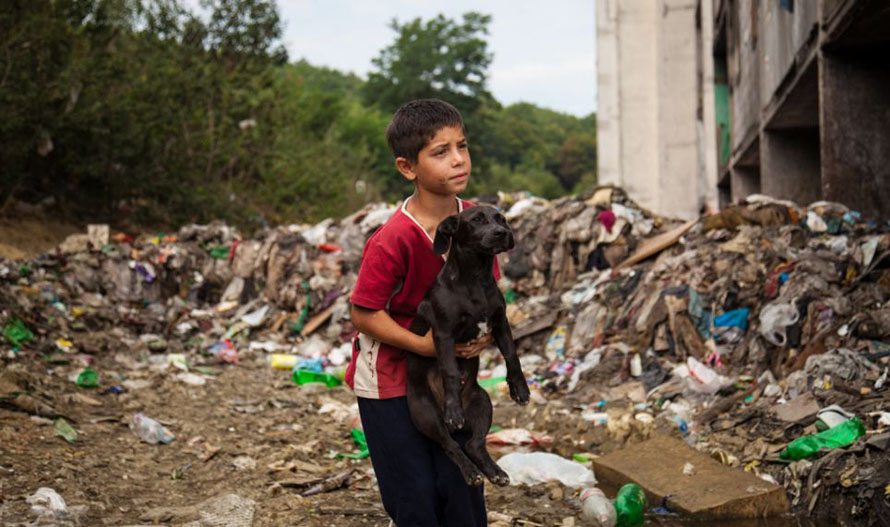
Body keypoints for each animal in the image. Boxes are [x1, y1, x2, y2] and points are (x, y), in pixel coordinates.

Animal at [408, 205, 528, 486]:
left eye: (502, 219)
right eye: (476, 220)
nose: (502, 233)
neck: (476, 278)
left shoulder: (500, 322)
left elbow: (512, 355)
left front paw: (520, 388)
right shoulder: (444, 333)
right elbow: (451, 371)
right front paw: (453, 408)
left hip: (482, 401)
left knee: (474, 443)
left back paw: (495, 472)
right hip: (426, 413)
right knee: (450, 444)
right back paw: (471, 471)